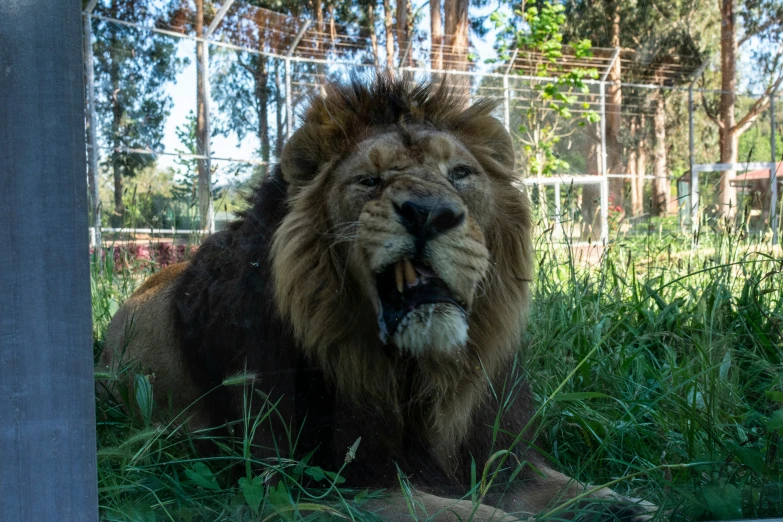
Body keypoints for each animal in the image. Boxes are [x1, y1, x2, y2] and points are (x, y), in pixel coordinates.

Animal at [104, 75, 656, 516]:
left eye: (460, 173)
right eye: (368, 180)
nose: (428, 212)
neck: (416, 376)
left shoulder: (497, 452)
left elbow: (572, 487)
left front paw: (624, 504)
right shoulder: (313, 485)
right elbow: (468, 514)